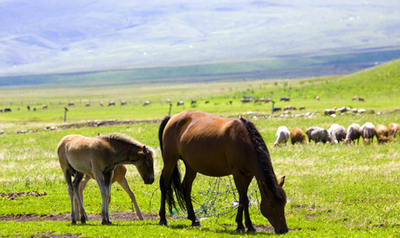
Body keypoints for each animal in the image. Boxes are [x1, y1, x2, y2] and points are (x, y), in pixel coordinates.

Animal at [157, 110, 288, 233]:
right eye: (271, 204)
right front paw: (248, 226)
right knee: (164, 185)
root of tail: (171, 118)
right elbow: (244, 199)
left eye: (284, 203)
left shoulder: (248, 175)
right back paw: (163, 219)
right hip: (170, 161)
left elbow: (242, 198)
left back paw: (194, 219)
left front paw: (239, 224)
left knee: (186, 187)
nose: (283, 230)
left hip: (190, 166)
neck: (245, 142)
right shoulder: (237, 173)